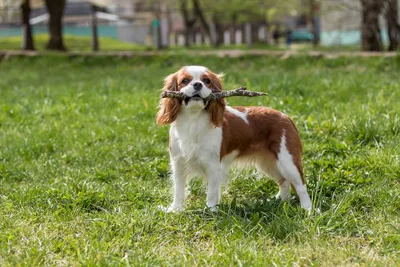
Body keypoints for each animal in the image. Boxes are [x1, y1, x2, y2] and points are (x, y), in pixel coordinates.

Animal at [156, 66, 312, 213]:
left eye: (207, 81)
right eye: (184, 81)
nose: (198, 84)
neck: (193, 119)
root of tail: (286, 116)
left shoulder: (213, 165)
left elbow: (212, 192)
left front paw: (210, 210)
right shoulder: (178, 164)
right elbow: (178, 190)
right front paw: (175, 210)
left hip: (287, 161)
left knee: (301, 186)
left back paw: (307, 210)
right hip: (268, 163)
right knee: (283, 181)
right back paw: (279, 201)